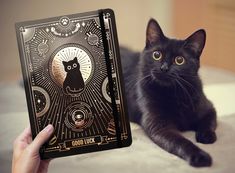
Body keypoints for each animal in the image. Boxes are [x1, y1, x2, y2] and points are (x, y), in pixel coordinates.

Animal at [121, 18, 217, 167]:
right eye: (156, 55)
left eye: (179, 60)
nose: (164, 68)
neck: (174, 94)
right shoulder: (159, 126)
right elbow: (181, 141)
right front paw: (200, 156)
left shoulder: (209, 107)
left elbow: (208, 122)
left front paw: (206, 136)